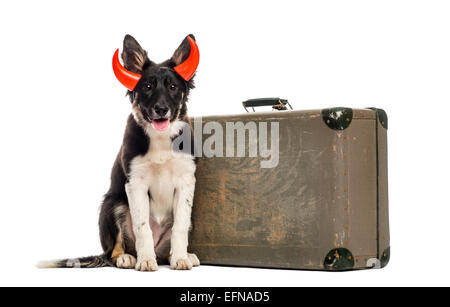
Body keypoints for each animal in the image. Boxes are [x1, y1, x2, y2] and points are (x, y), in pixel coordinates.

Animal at [38, 34, 200, 272]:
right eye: (148, 86)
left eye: (172, 86)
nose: (161, 109)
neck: (159, 138)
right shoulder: (135, 183)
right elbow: (143, 227)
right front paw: (146, 260)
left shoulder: (186, 181)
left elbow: (179, 227)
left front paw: (180, 258)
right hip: (113, 204)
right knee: (113, 251)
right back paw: (128, 257)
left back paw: (180, 255)